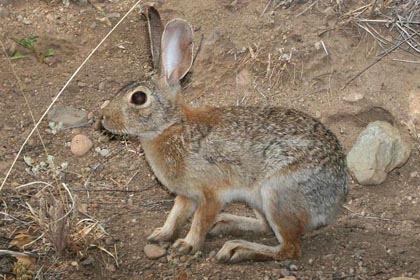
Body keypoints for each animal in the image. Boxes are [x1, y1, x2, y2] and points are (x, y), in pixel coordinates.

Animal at [101, 7, 348, 264]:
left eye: (139, 98)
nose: (104, 118)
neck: (171, 126)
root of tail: (335, 198)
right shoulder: (187, 195)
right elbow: (176, 213)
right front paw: (162, 234)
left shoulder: (211, 194)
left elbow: (199, 221)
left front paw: (187, 245)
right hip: (259, 199)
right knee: (265, 227)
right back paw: (225, 223)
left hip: (277, 194)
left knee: (289, 248)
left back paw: (237, 249)